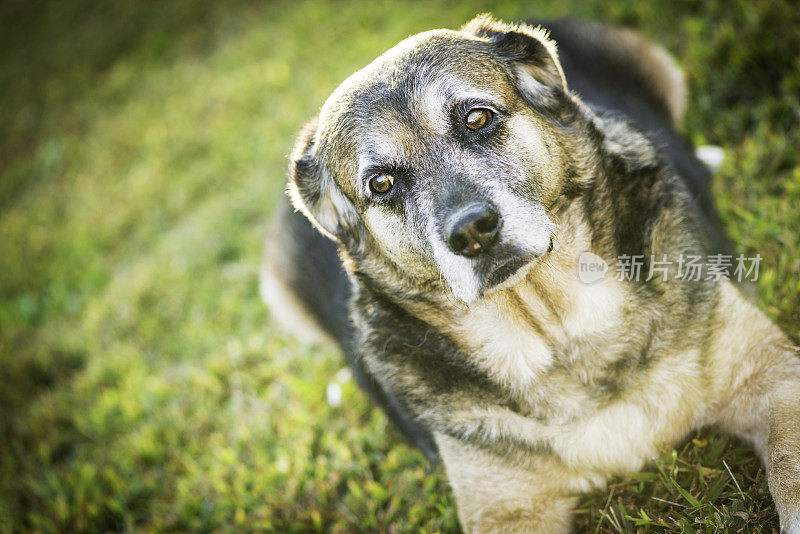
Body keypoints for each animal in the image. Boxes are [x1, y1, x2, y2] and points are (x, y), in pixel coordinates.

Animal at [260, 16, 800, 534]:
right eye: (381, 183)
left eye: (477, 118)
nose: (471, 232)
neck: (556, 325)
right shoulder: (506, 508)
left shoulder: (770, 371)